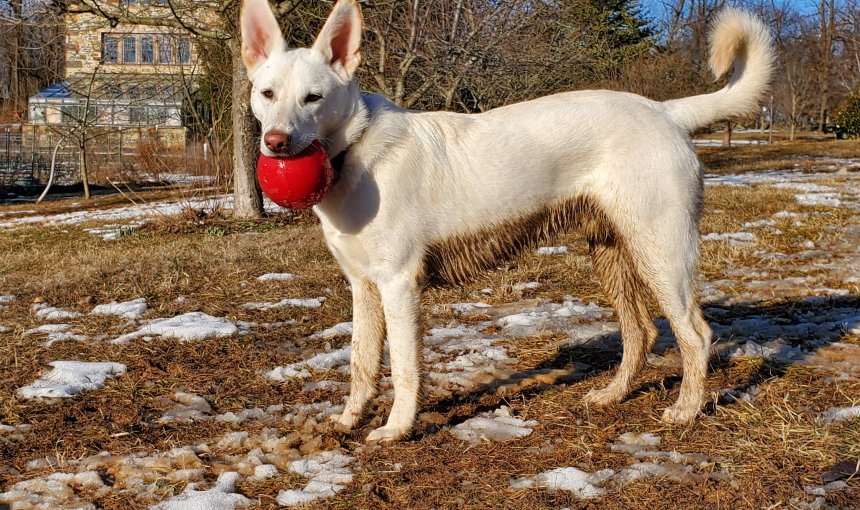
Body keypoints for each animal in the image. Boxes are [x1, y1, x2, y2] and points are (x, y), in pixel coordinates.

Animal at [240, 0, 772, 442]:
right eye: (267, 94)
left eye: (313, 98)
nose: (276, 143)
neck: (355, 150)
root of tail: (664, 110)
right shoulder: (363, 287)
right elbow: (361, 364)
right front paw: (350, 421)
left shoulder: (398, 285)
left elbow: (406, 369)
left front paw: (396, 429)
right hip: (612, 253)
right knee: (640, 334)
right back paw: (613, 395)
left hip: (662, 254)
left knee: (695, 335)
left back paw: (686, 410)